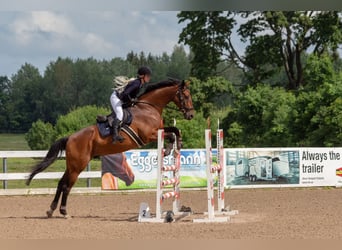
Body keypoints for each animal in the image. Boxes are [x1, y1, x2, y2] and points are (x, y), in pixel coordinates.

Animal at [25, 79, 194, 218]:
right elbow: (171, 134)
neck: (148, 108)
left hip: (72, 165)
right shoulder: (149, 135)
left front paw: (177, 144)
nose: (191, 115)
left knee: (61, 183)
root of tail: (70, 138)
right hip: (78, 165)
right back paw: (64, 212)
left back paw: (51, 210)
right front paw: (169, 149)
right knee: (67, 186)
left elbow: (174, 130)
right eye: (185, 95)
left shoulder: (158, 130)